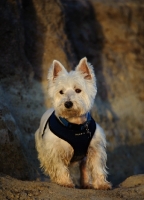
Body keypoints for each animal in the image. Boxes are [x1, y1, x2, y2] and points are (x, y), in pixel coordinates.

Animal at [35, 57, 111, 189]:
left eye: (78, 90)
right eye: (61, 92)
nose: (68, 103)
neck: (75, 126)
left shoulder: (95, 149)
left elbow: (97, 167)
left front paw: (101, 184)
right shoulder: (53, 150)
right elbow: (59, 167)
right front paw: (64, 182)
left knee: (84, 168)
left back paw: (86, 183)